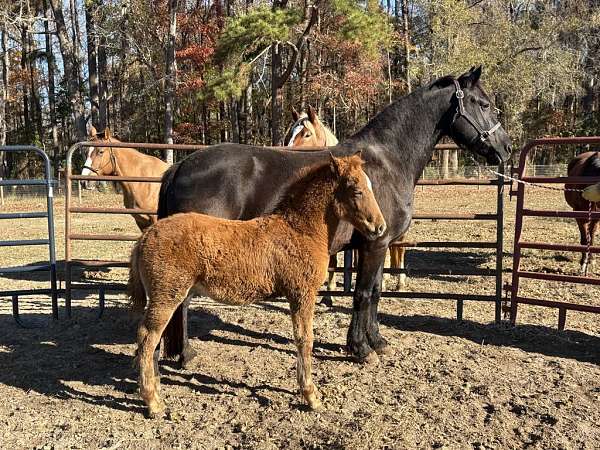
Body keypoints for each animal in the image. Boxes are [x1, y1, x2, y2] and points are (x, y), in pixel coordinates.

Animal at [129, 153, 386, 416]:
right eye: (357, 190)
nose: (379, 227)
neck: (300, 230)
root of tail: (145, 236)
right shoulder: (302, 293)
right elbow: (305, 339)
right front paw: (311, 396)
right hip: (166, 296)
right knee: (147, 336)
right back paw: (153, 401)